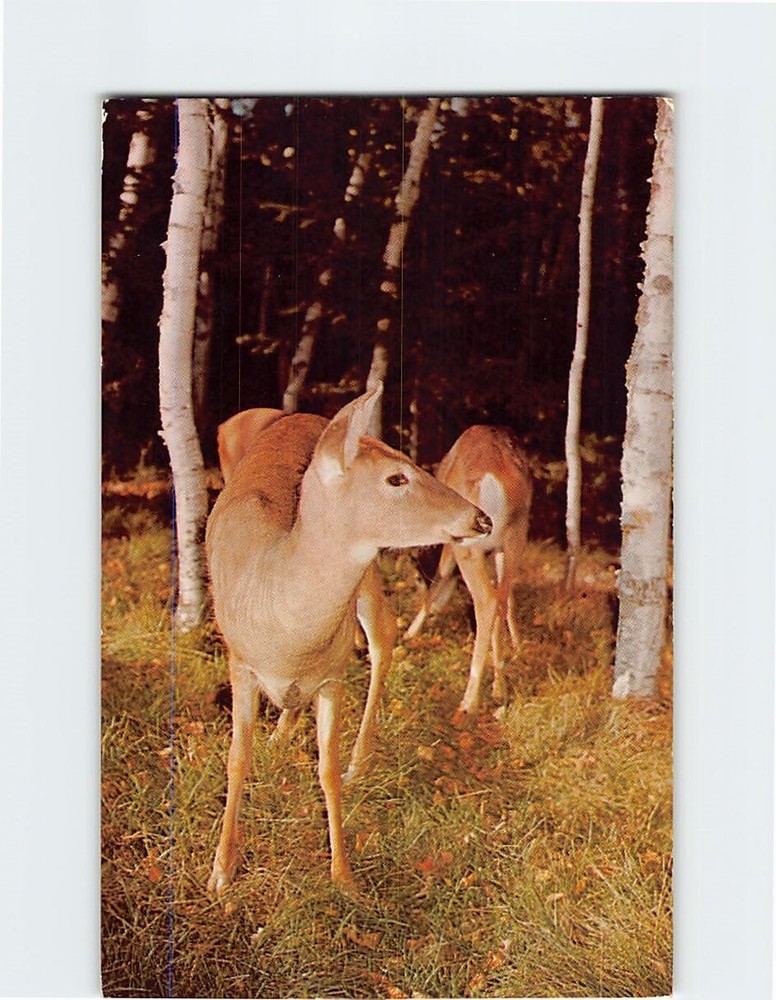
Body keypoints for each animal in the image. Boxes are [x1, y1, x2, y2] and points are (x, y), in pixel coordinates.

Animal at [205, 384, 492, 893]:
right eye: (397, 478)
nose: (480, 519)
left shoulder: (334, 675)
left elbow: (327, 768)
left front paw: (342, 874)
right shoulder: (239, 663)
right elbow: (237, 758)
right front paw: (221, 870)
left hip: (370, 574)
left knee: (382, 637)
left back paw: (361, 758)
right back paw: (280, 734)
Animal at [404, 425, 533, 718]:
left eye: (416, 576)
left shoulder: (451, 544)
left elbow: (439, 578)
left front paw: (409, 633)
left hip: (469, 545)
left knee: (487, 601)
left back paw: (469, 701)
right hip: (515, 539)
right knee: (502, 599)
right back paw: (499, 688)